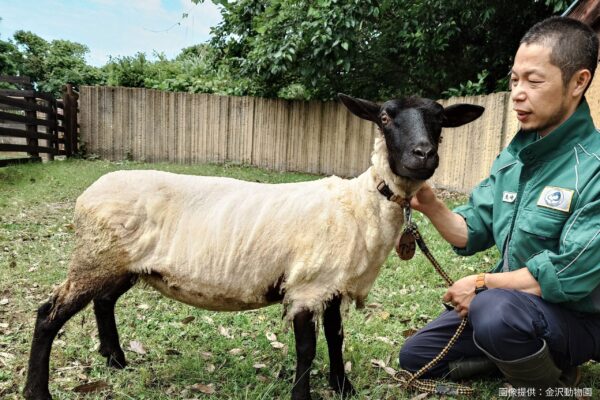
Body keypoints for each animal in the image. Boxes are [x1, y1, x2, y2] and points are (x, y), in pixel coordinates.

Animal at [23, 93, 486, 400]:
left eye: (440, 121)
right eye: (386, 117)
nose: (422, 155)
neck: (361, 204)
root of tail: (89, 192)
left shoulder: (331, 284)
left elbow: (336, 338)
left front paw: (344, 387)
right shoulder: (306, 286)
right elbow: (307, 350)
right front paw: (304, 396)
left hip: (122, 263)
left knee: (103, 302)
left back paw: (115, 360)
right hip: (95, 255)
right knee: (48, 315)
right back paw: (38, 390)